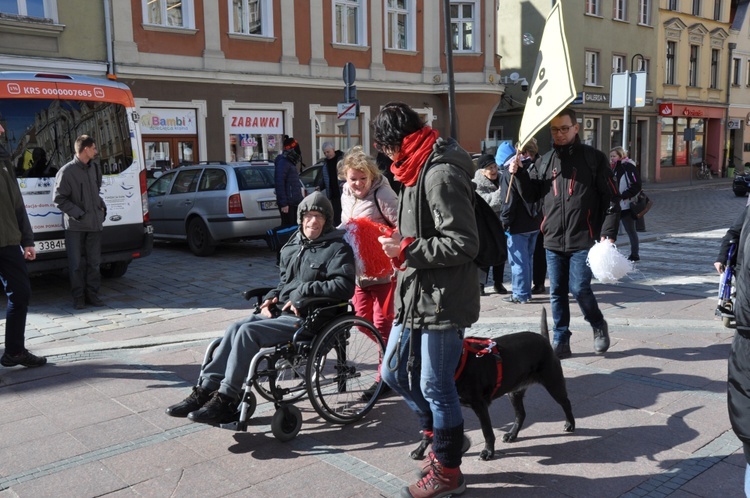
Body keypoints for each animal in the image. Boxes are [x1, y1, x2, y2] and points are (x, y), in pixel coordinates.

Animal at [412, 310, 576, 462]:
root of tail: (544, 339)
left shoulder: (479, 405)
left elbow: (487, 431)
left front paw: (488, 452)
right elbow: (431, 431)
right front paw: (420, 450)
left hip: (553, 382)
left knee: (566, 402)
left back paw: (570, 424)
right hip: (514, 391)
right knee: (521, 414)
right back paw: (512, 435)